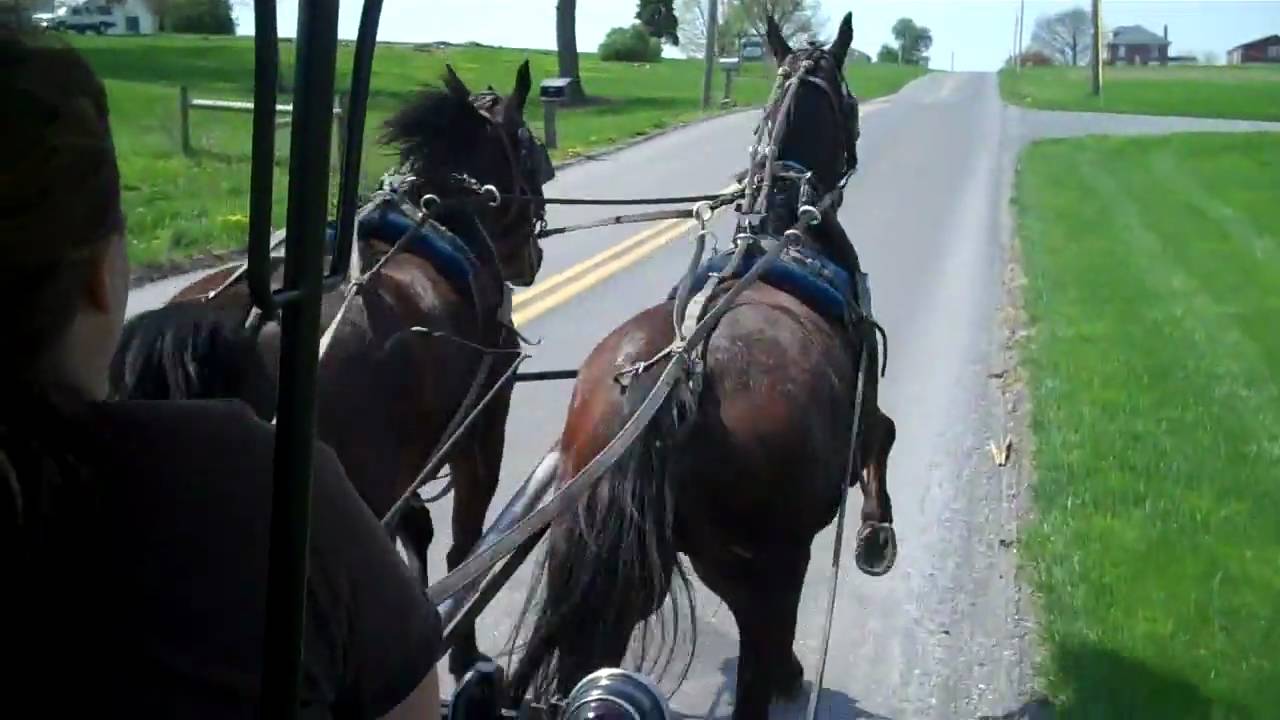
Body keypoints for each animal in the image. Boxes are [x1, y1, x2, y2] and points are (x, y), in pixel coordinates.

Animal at [111, 61, 550, 676]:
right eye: (530, 153)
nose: (533, 258)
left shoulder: (408, 458)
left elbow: (418, 529)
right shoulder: (480, 431)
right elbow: (464, 545)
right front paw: (463, 653)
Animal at [504, 15, 896, 717]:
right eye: (851, 101)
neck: (788, 229)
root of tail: (671, 391)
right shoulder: (865, 406)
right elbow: (884, 436)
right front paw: (877, 534)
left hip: (594, 543)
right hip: (759, 564)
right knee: (760, 657)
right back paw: (786, 671)